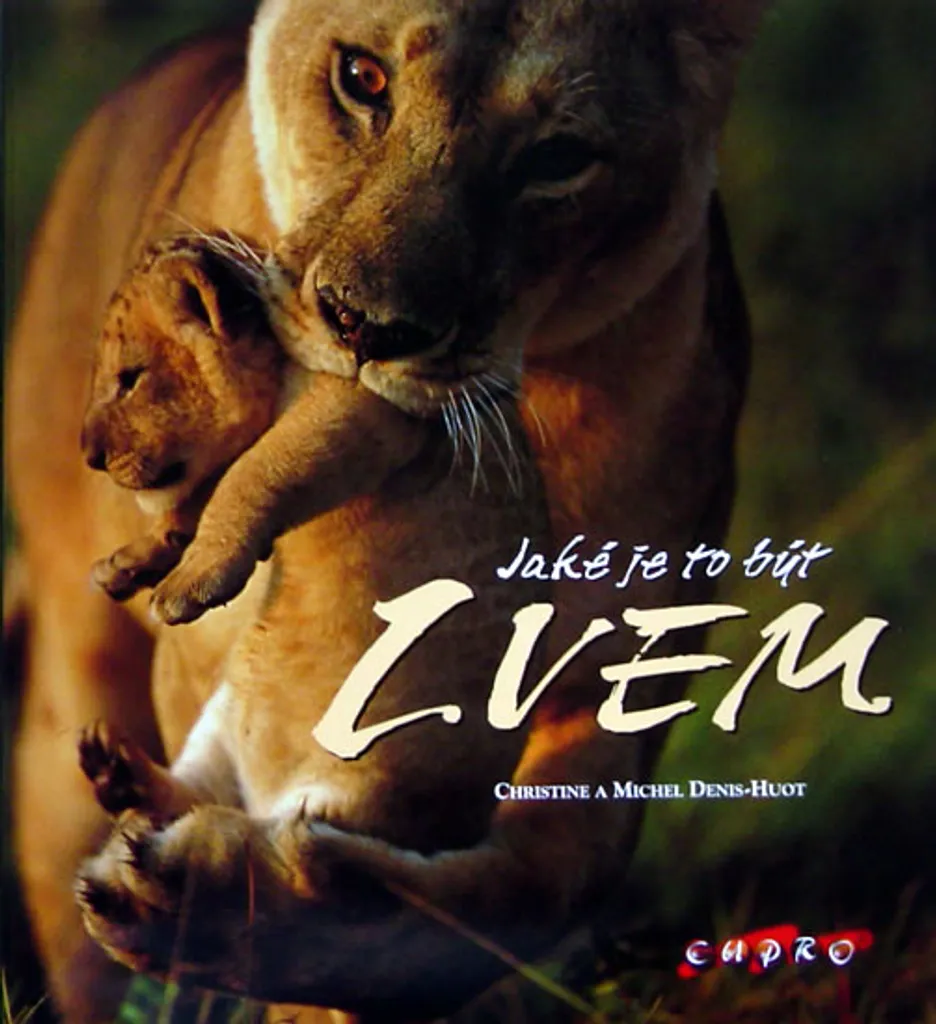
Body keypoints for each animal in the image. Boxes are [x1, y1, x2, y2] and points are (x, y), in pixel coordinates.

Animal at [5, 0, 761, 1019]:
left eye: (559, 158)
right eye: (361, 80)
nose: (365, 327)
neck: (530, 395)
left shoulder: (616, 688)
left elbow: (513, 897)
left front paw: (248, 913)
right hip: (73, 697)